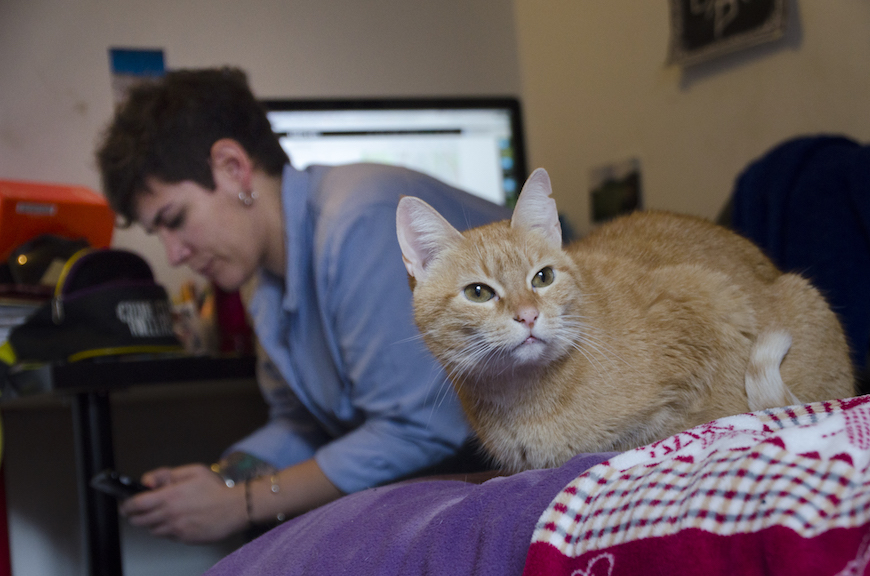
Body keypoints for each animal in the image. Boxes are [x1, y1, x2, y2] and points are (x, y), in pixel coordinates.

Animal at [398, 168, 856, 472]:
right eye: (478, 292)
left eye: (542, 278)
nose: (528, 315)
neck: (523, 400)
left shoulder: (711, 298)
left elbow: (690, 423)